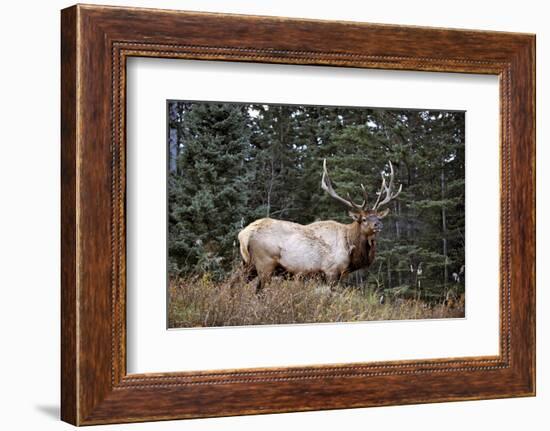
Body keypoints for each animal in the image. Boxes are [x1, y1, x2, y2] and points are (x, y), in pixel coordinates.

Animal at [239, 160, 404, 292]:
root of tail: (244, 234)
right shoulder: (331, 271)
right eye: (363, 219)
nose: (378, 224)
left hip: (249, 265)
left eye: (377, 216)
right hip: (265, 263)